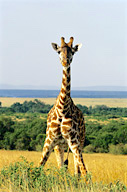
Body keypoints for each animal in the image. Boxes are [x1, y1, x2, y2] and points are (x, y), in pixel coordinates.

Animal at [39, 36, 87, 176]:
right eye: (59, 51)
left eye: (73, 51)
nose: (65, 62)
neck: (63, 108)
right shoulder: (50, 141)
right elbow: (38, 167)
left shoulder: (74, 142)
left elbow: (84, 172)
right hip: (59, 146)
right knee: (62, 168)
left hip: (79, 142)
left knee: (77, 171)